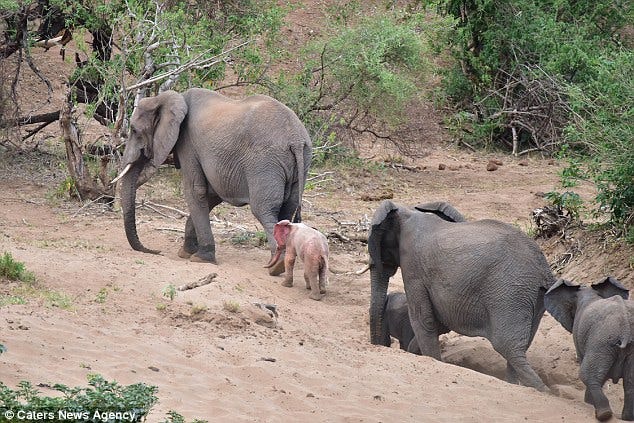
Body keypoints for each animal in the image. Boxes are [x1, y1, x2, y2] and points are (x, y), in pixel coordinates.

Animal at [115, 88, 312, 272]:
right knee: (287, 209)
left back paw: (275, 266)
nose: (156, 252)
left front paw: (200, 258)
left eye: (134, 130)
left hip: (265, 163)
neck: (168, 98)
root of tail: (296, 139)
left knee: (264, 210)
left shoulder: (188, 143)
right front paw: (185, 253)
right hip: (300, 161)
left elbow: (195, 190)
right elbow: (211, 194)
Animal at [366, 200, 552, 392]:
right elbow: (437, 323)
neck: (407, 212)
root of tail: (543, 269)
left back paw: (544, 391)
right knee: (521, 347)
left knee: (508, 347)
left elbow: (423, 321)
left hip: (510, 292)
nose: (382, 345)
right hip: (533, 296)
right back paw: (514, 384)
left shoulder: (412, 266)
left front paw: (433, 360)